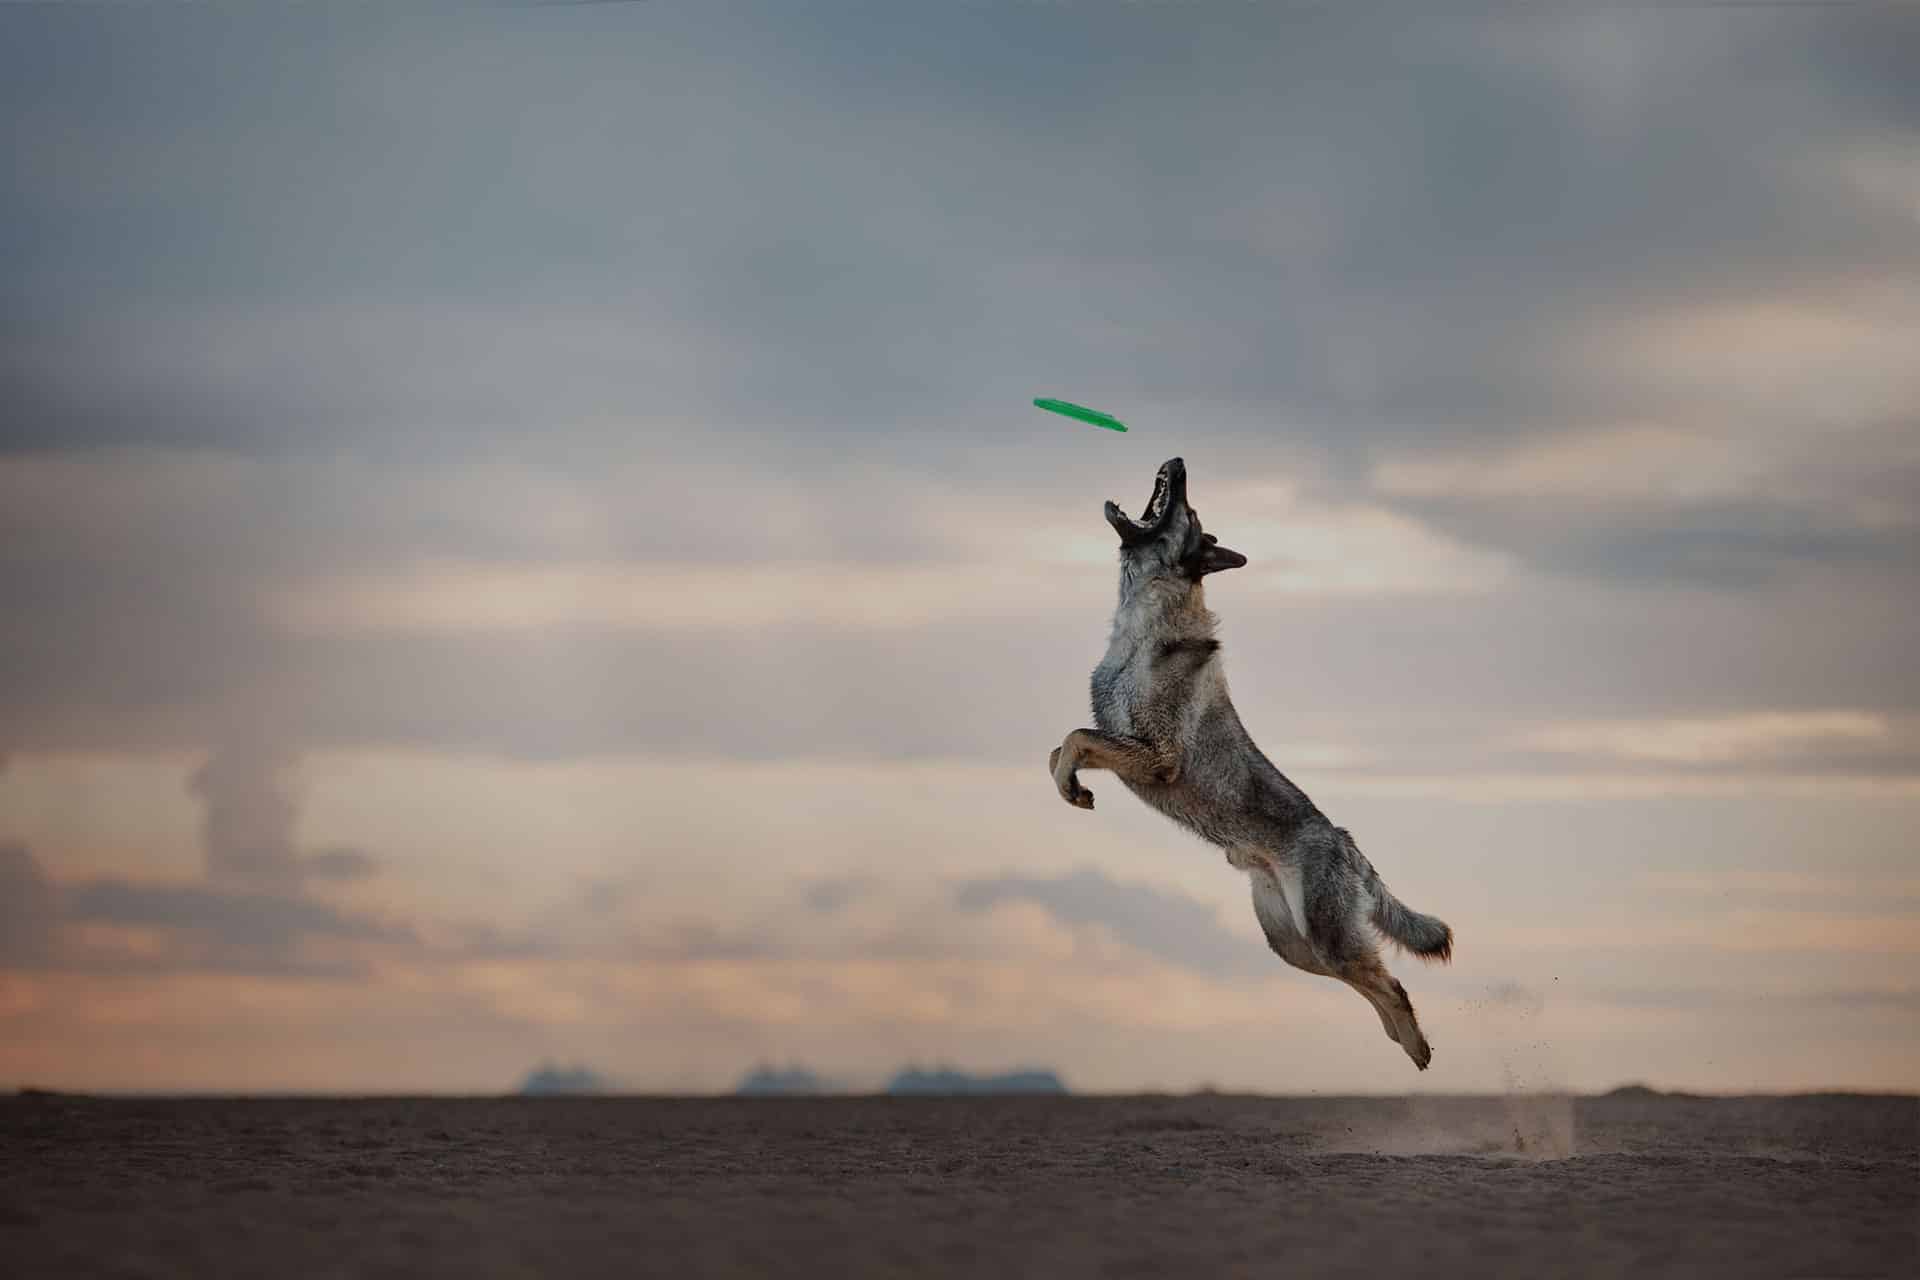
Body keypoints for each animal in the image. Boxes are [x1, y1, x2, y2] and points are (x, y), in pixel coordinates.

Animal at [1052, 458, 1451, 1074]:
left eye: (1188, 510)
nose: (1178, 462)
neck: (1144, 622)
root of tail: (1345, 841)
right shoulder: (1122, 746)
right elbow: (1062, 749)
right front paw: (1070, 789)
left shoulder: (1154, 756)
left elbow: (1074, 738)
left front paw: (1071, 787)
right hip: (1294, 946)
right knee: (1371, 982)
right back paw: (1399, 1038)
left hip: (1324, 939)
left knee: (1389, 984)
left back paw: (1416, 1045)